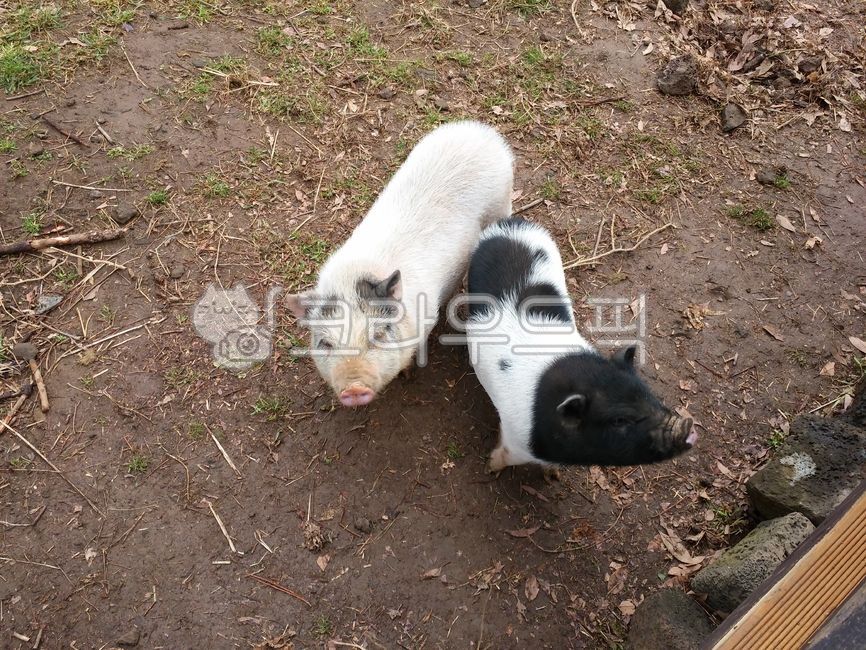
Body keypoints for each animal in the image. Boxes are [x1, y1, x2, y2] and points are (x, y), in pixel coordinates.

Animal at [287, 121, 514, 407]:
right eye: (325, 344)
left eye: (379, 335)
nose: (354, 389)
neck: (351, 279)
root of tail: (482, 131)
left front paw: (408, 374)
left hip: (501, 201)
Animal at [465, 217, 697, 474]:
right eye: (618, 421)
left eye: (649, 394)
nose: (688, 425)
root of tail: (510, 223)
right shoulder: (516, 437)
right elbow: (507, 455)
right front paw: (491, 466)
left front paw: (553, 475)